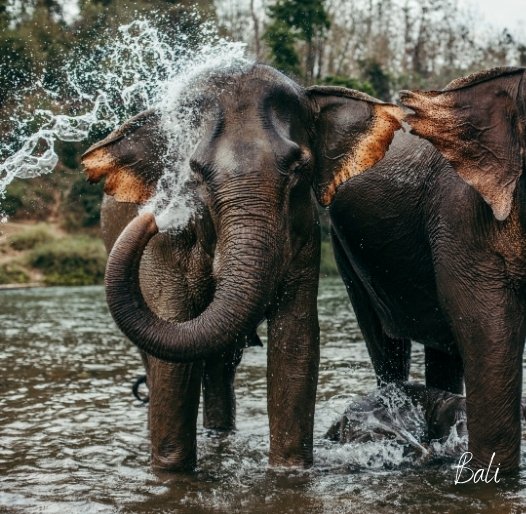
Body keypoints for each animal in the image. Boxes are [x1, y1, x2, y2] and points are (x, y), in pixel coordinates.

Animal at [80, 64, 406, 472]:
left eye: (299, 167)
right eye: (194, 172)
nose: (156, 215)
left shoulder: (304, 237)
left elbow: (295, 345)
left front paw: (289, 471)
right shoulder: (165, 250)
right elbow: (172, 356)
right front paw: (170, 472)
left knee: (220, 366)